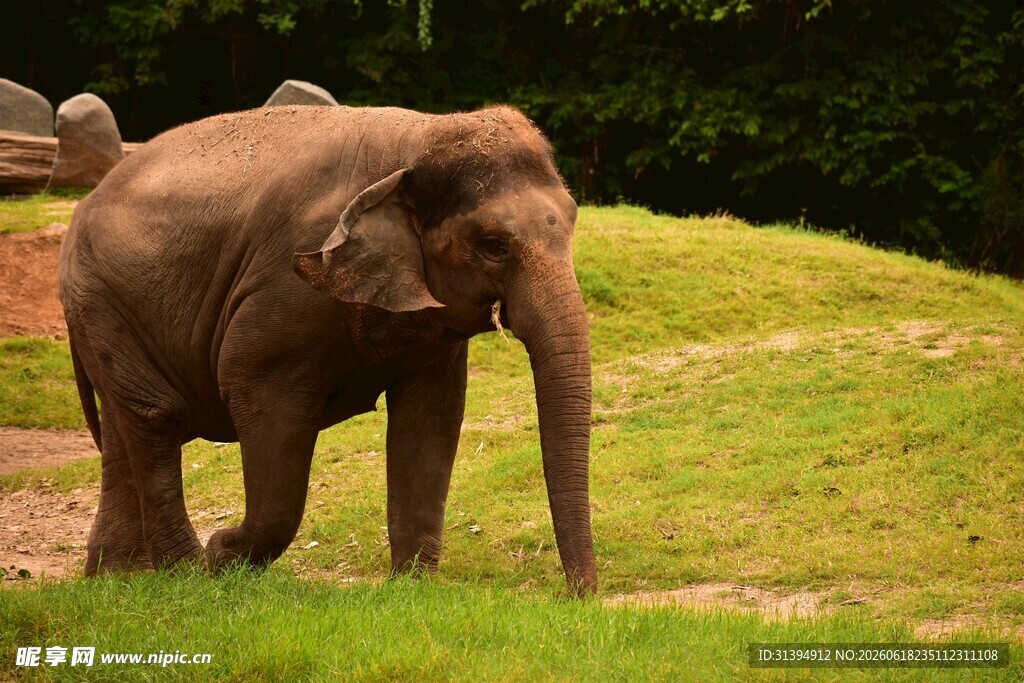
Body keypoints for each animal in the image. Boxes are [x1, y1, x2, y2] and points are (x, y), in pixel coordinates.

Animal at [58, 104, 597, 594]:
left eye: (573, 221)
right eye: (493, 245)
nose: (578, 596)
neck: (416, 140)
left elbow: (432, 418)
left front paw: (412, 590)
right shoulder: (284, 293)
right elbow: (255, 392)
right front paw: (222, 557)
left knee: (124, 427)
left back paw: (118, 580)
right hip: (98, 299)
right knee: (154, 417)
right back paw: (185, 576)